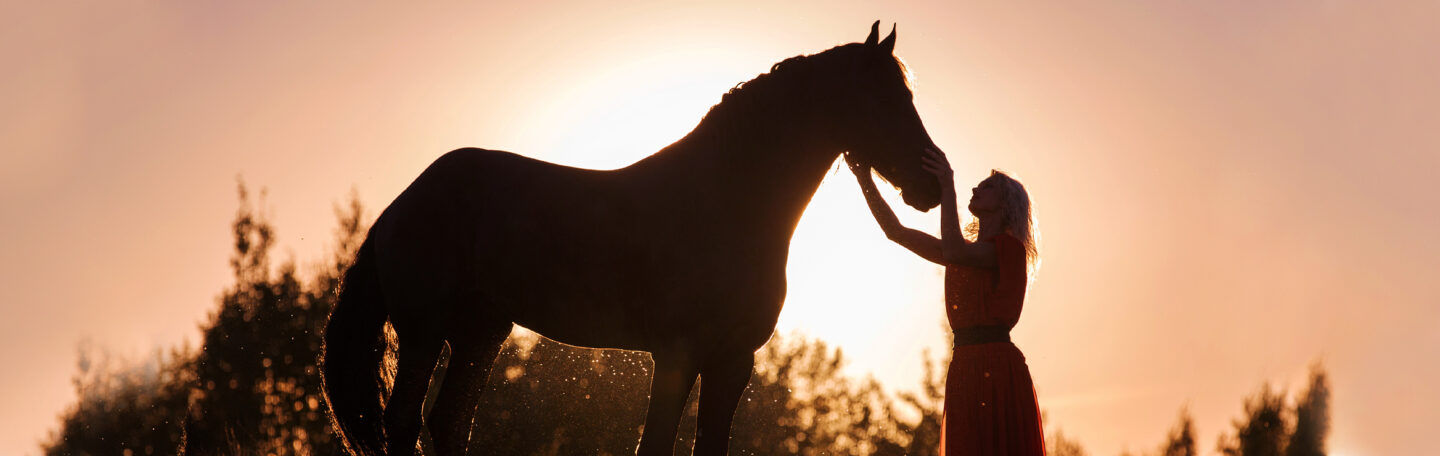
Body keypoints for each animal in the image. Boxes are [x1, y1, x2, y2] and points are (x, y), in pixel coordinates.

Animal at [321, 22, 938, 454]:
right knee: (403, 422)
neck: (725, 200)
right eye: (886, 100)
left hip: (479, 334)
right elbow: (655, 444)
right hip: (425, 331)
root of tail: (404, 202)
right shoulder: (677, 353)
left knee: (448, 423)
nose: (930, 182)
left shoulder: (732, 361)